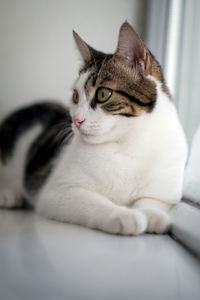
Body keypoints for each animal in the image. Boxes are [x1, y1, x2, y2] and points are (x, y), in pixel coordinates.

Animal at [0, 23, 188, 234]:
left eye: (103, 94)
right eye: (75, 96)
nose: (76, 120)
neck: (129, 143)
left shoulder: (165, 193)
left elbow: (152, 200)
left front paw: (152, 214)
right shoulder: (57, 191)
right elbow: (93, 202)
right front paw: (124, 215)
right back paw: (8, 195)